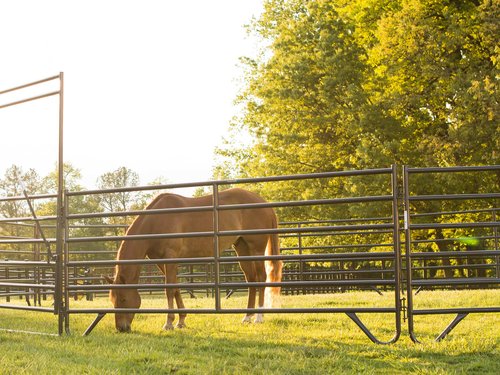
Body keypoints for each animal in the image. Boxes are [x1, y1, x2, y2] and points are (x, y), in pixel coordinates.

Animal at [106, 189, 282, 334]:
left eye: (123, 299)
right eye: (112, 300)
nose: (121, 328)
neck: (156, 221)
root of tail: (264, 203)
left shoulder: (170, 258)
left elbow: (169, 289)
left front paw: (168, 323)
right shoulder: (161, 261)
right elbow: (176, 287)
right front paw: (181, 320)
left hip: (256, 249)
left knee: (261, 278)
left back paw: (259, 317)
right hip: (242, 248)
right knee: (251, 279)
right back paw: (247, 316)